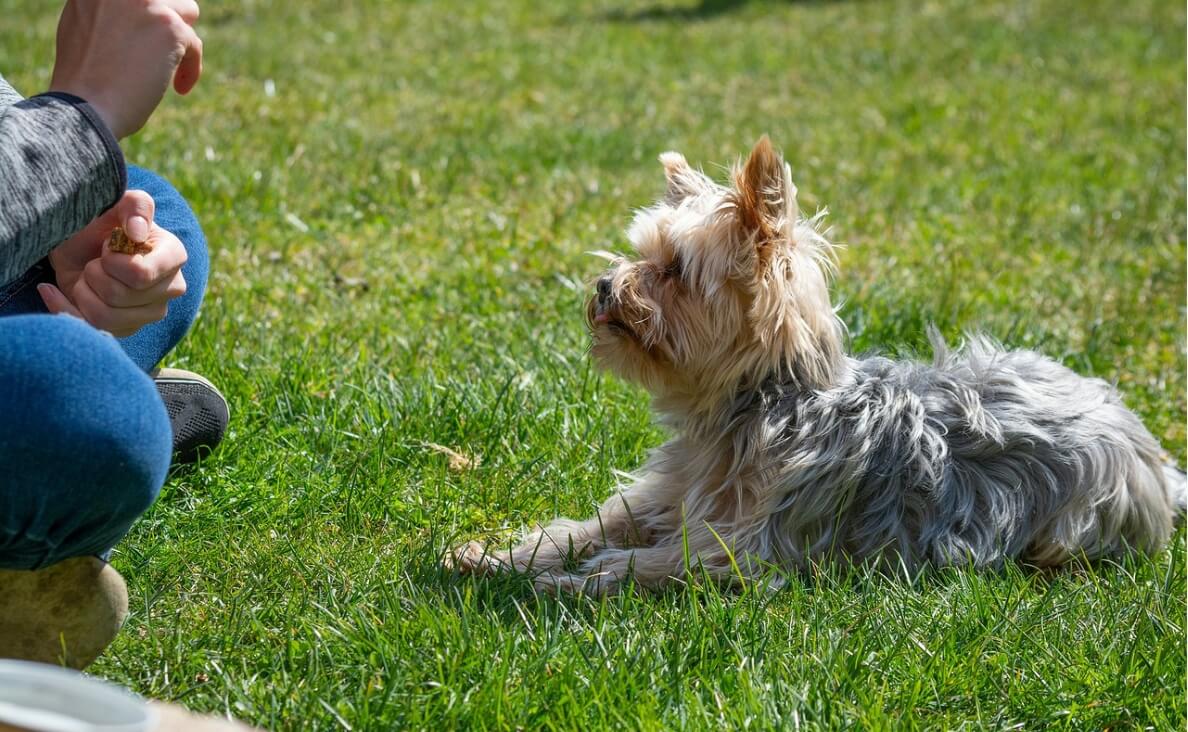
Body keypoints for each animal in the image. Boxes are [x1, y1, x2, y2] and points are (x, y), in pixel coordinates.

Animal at [446, 136, 1188, 594]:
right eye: (638, 253)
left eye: (673, 269)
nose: (604, 287)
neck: (754, 405)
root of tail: (1151, 454)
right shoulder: (666, 496)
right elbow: (590, 527)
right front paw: (497, 556)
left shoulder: (744, 547)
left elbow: (651, 562)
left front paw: (572, 581)